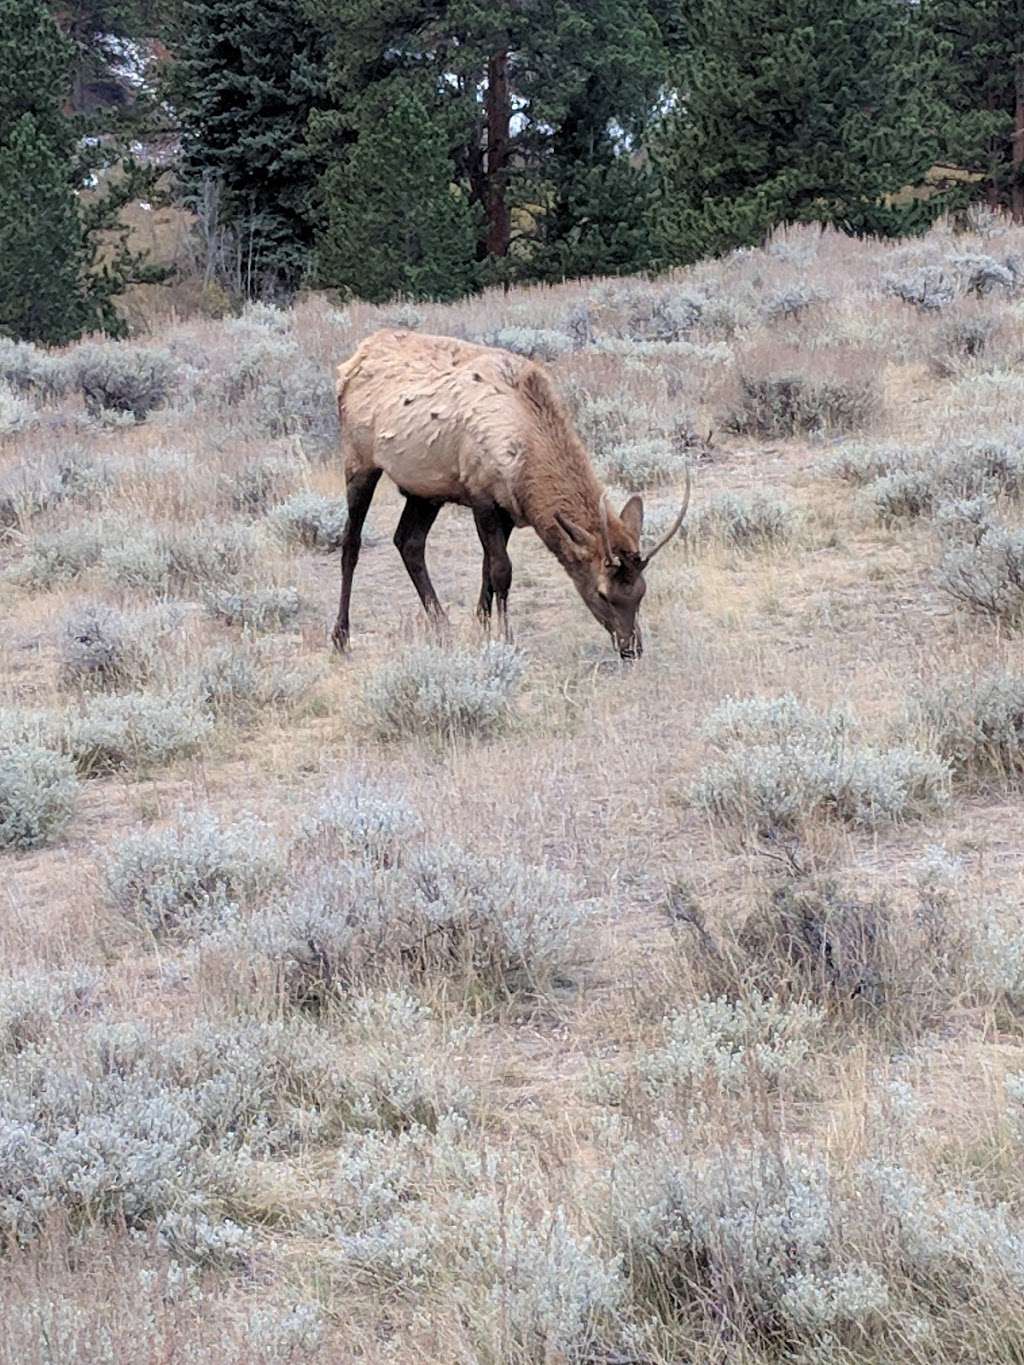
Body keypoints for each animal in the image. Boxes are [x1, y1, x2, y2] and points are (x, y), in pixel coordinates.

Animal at [333, 324, 693, 655]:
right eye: (602, 593)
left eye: (641, 591)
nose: (631, 647)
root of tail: (353, 360)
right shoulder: (481, 496)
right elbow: (501, 570)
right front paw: (504, 637)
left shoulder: (506, 507)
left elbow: (486, 571)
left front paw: (481, 628)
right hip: (359, 461)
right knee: (351, 542)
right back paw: (341, 635)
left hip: (425, 488)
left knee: (408, 541)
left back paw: (442, 625)